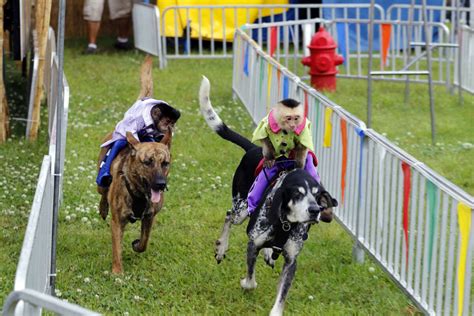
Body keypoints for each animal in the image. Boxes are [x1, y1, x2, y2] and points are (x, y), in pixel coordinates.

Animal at [106, 131, 169, 274]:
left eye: (165, 163)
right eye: (147, 162)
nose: (161, 184)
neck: (140, 194)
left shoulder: (149, 217)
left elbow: (144, 241)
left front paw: (137, 245)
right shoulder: (117, 221)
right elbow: (117, 248)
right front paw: (117, 272)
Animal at [199, 76, 336, 316]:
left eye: (318, 195)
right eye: (297, 193)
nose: (314, 211)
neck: (285, 224)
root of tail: (252, 149)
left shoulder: (291, 261)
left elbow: (281, 297)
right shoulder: (253, 244)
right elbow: (250, 281)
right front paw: (246, 282)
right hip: (241, 209)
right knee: (229, 215)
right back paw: (221, 247)